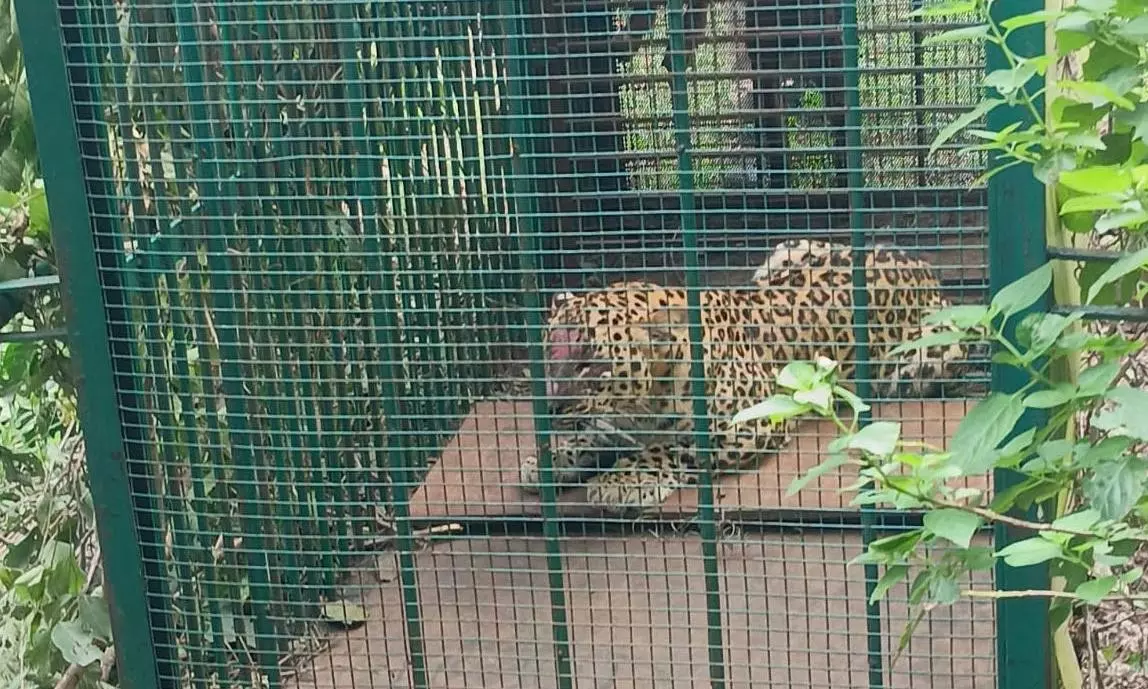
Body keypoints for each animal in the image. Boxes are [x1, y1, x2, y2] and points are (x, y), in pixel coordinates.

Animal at [517, 238, 975, 515]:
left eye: (591, 363)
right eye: (548, 353)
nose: (550, 405)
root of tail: (920, 264)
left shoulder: (751, 424)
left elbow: (671, 448)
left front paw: (623, 478)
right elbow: (589, 435)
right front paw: (549, 458)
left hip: (922, 363)